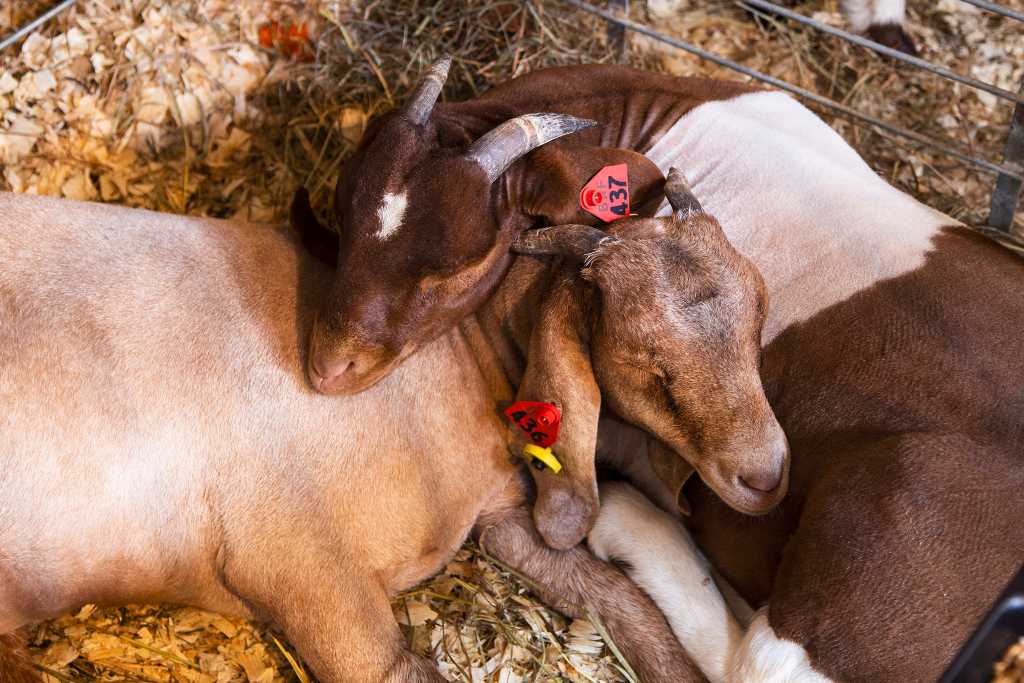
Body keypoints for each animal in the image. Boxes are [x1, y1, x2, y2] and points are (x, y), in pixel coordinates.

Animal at [0, 172, 774, 683]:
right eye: (651, 363)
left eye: (760, 314)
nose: (767, 475)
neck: (458, 359)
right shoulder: (296, 558)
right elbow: (400, 667)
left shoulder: (499, 518)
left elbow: (624, 601)